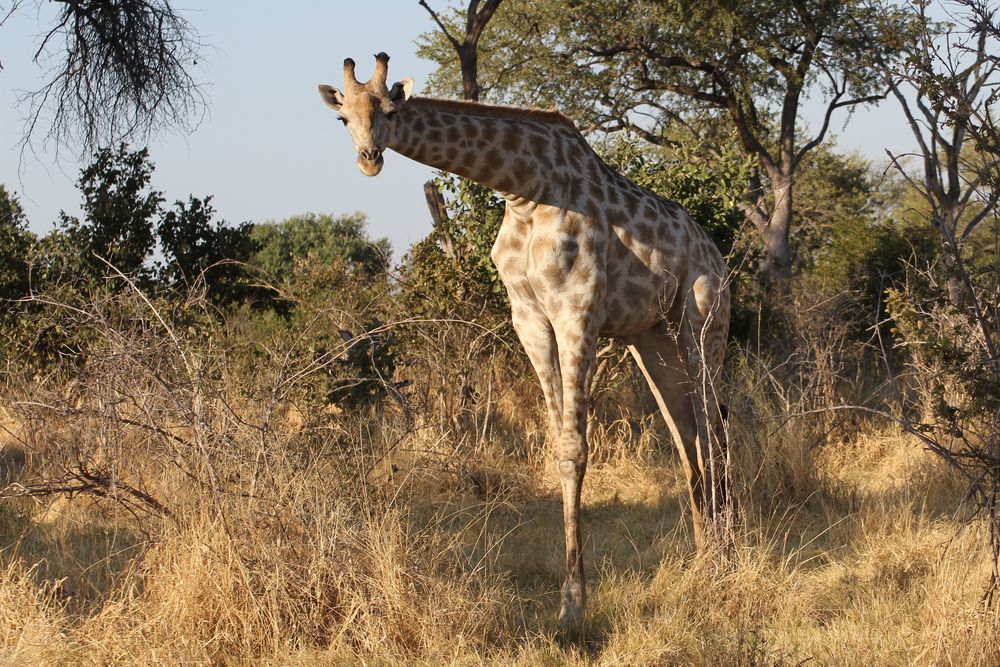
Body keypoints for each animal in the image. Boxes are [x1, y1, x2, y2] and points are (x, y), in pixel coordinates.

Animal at [320, 53, 736, 628]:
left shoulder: (577, 311)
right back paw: (704, 555)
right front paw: (570, 599)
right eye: (343, 119)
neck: (523, 190)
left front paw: (574, 606)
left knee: (715, 431)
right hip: (652, 337)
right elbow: (559, 446)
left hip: (704, 321)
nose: (368, 159)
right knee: (688, 435)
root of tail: (716, 254)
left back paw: (727, 561)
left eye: (387, 110)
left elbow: (576, 449)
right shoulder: (529, 318)